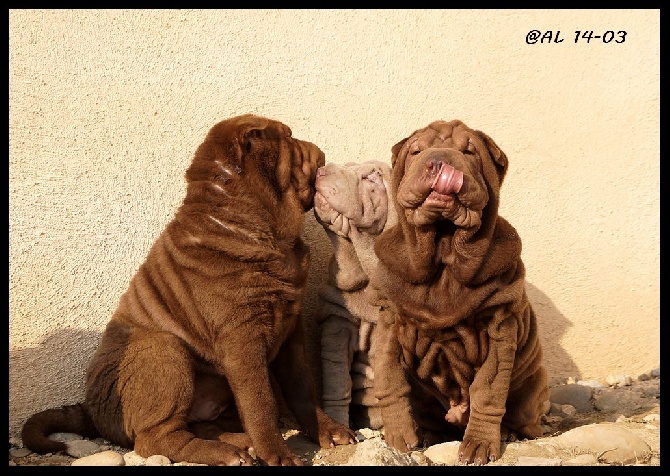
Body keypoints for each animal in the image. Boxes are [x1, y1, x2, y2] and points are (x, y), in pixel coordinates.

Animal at [19, 114, 356, 464]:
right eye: (288, 137)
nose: (318, 149)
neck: (248, 220)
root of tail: (90, 410)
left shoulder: (291, 328)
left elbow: (302, 386)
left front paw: (329, 431)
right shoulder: (241, 337)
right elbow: (260, 402)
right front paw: (278, 454)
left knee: (201, 425)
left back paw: (239, 443)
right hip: (163, 347)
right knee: (156, 438)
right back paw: (227, 452)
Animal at [372, 119, 552, 464]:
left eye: (469, 151)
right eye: (416, 151)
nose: (439, 161)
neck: (444, 251)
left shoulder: (500, 325)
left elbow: (488, 390)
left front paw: (480, 445)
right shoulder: (389, 318)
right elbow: (390, 377)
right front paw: (399, 436)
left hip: (534, 385)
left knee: (525, 417)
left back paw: (510, 433)